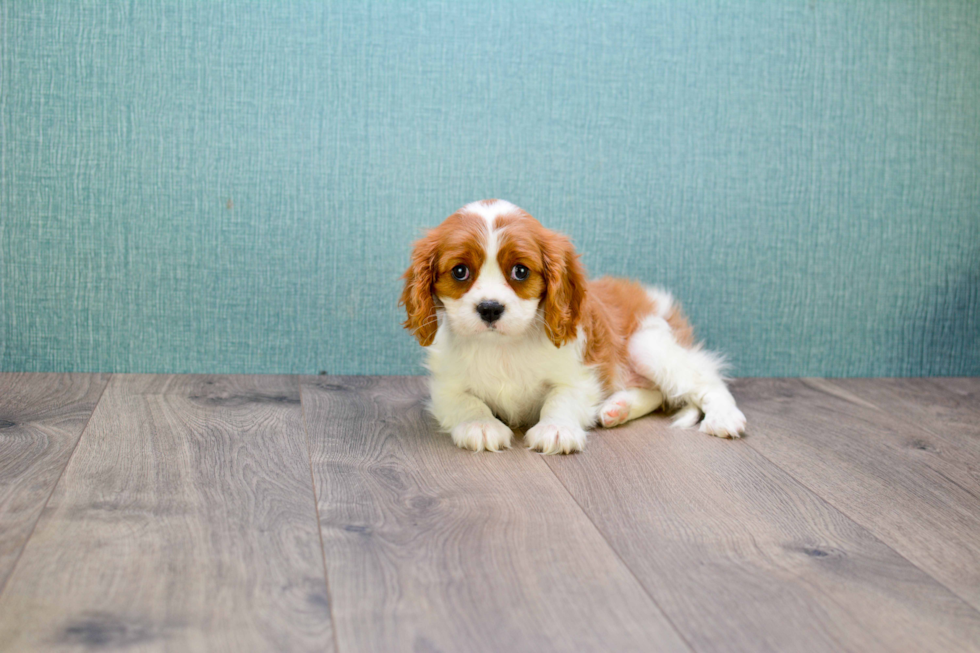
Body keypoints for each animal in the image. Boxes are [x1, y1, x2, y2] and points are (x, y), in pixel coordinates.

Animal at [398, 199, 744, 454]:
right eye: (460, 271)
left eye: (520, 271)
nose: (490, 308)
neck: (503, 345)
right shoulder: (446, 386)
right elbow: (466, 401)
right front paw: (480, 425)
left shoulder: (579, 375)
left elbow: (561, 398)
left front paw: (556, 429)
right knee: (657, 392)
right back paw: (617, 407)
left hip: (647, 344)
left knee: (706, 380)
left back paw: (724, 417)